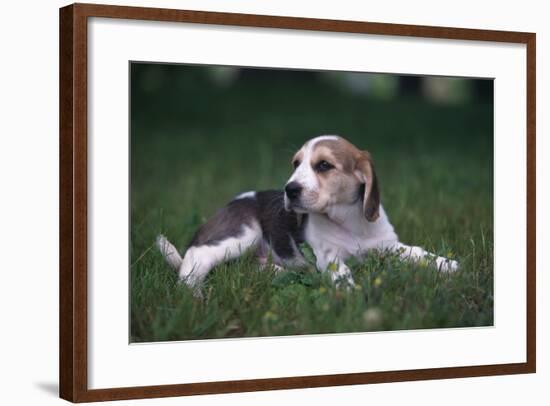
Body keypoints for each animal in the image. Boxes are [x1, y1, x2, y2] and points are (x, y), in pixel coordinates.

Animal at [157, 136, 460, 292]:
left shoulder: (388, 245)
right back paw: (193, 292)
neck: (350, 222)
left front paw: (446, 265)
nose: (289, 190)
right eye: (296, 164)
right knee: (198, 255)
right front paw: (348, 290)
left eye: (324, 165)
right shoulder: (328, 256)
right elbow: (341, 270)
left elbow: (417, 252)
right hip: (242, 235)